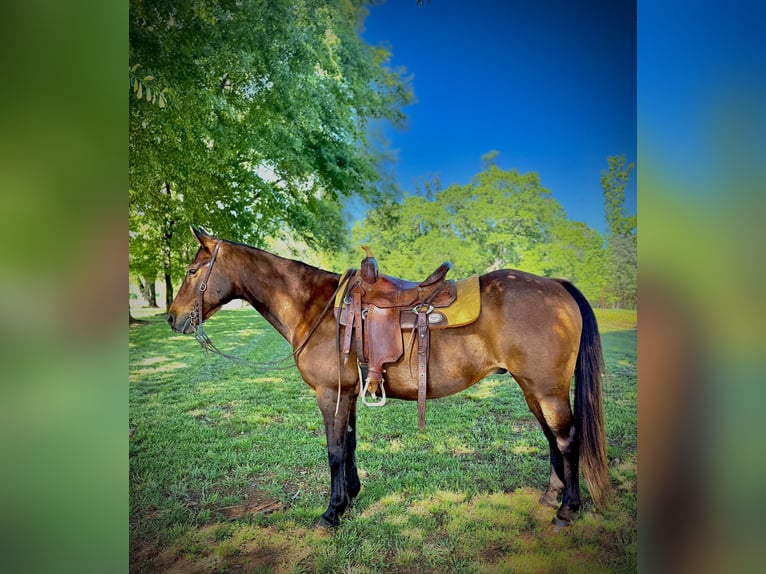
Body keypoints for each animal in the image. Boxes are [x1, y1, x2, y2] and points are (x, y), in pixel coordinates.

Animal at [166, 227, 609, 529]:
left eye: (191, 270)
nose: (172, 318)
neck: (315, 308)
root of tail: (557, 286)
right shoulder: (347, 393)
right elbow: (349, 444)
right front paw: (350, 496)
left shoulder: (329, 393)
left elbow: (333, 450)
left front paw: (331, 512)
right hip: (533, 389)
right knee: (552, 437)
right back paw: (552, 497)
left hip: (548, 390)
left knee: (568, 439)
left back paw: (567, 509)